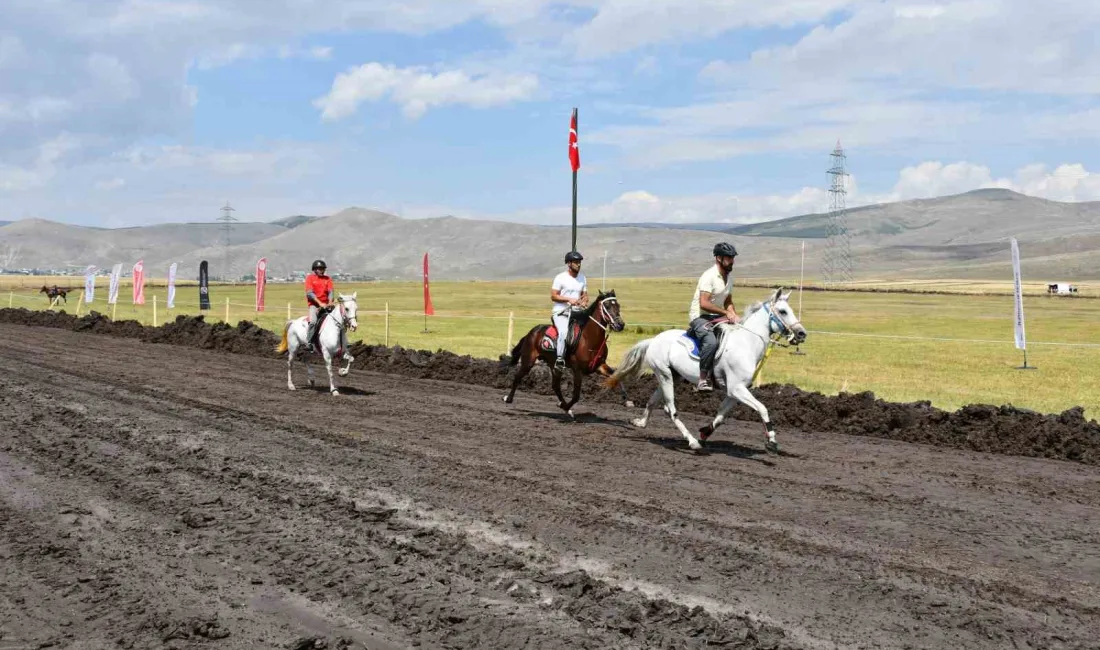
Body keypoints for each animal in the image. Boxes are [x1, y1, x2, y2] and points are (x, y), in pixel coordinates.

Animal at [503, 288, 633, 417]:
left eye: (618, 305)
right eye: (607, 306)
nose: (620, 325)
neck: (589, 339)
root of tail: (532, 331)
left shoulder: (599, 366)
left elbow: (616, 376)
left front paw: (628, 401)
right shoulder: (578, 370)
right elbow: (576, 396)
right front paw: (565, 407)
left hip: (554, 365)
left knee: (555, 386)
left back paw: (563, 404)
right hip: (528, 361)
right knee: (518, 377)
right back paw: (508, 398)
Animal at [607, 288, 805, 455]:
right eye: (783, 311)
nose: (802, 334)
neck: (746, 344)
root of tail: (653, 340)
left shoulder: (734, 393)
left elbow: (721, 416)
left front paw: (704, 433)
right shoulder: (737, 389)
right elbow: (762, 408)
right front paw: (772, 441)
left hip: (672, 376)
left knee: (654, 402)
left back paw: (640, 422)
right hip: (665, 376)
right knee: (671, 410)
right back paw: (692, 442)